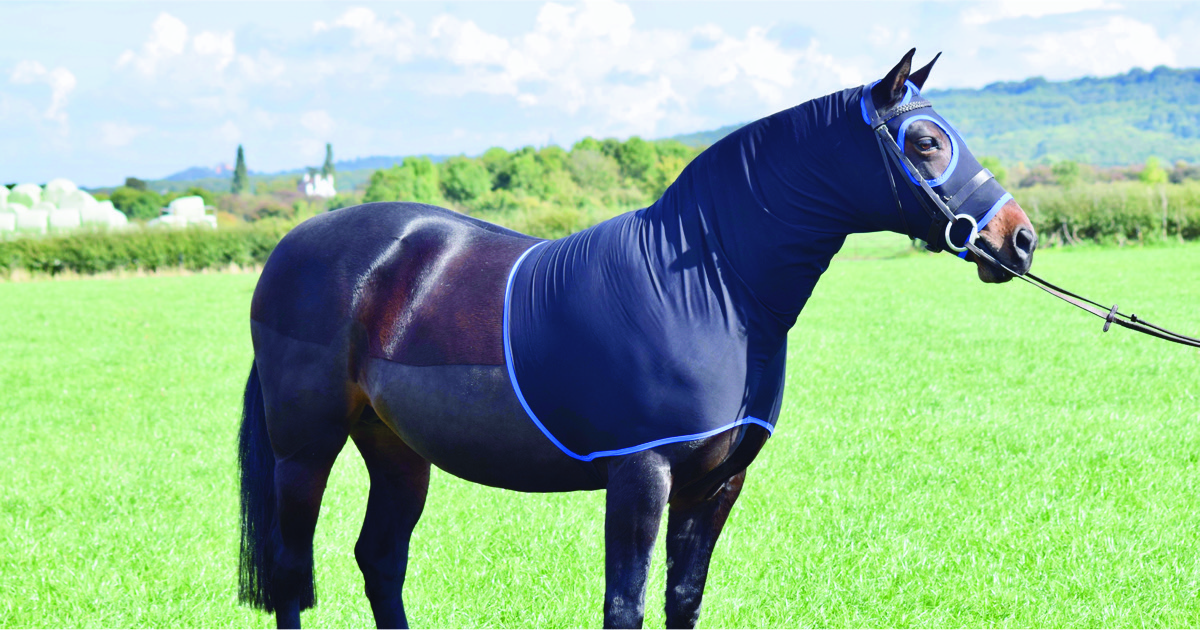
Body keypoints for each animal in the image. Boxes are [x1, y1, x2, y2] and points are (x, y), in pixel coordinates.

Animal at [237, 49, 1038, 629]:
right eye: (926, 141)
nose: (1018, 238)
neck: (711, 289)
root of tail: (293, 245)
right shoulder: (640, 474)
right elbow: (625, 606)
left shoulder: (716, 484)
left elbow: (683, 599)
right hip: (305, 449)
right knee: (291, 571)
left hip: (397, 448)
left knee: (380, 559)